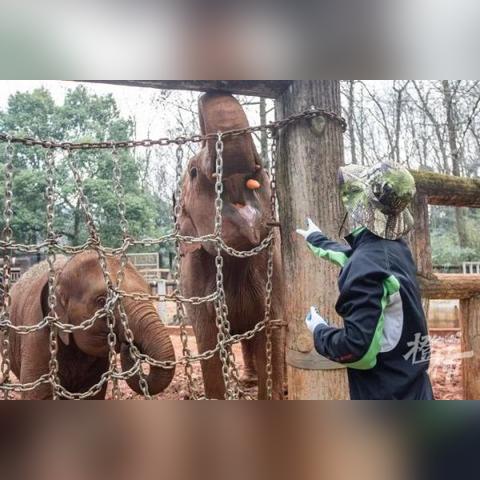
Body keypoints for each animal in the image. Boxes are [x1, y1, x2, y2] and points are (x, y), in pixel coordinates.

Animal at [4, 251, 176, 402]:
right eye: (101, 301)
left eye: (149, 292)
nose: (129, 345)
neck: (61, 271)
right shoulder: (39, 334)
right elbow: (38, 395)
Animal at [179, 92, 284, 400]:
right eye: (192, 172)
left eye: (262, 171)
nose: (206, 94)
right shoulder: (195, 287)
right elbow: (208, 344)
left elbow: (270, 331)